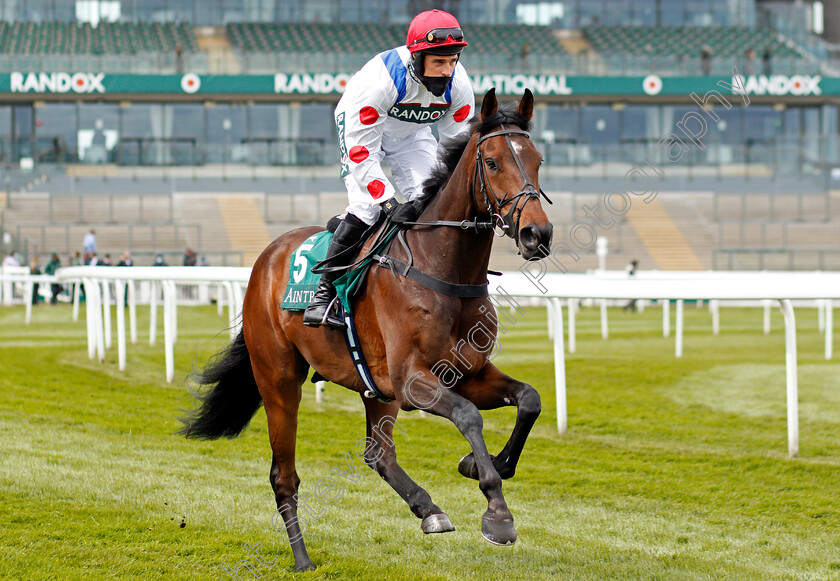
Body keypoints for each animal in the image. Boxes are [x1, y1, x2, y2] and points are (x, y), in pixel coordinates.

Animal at [180, 87, 556, 572]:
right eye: (491, 162)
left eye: (538, 159)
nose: (536, 234)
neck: (442, 267)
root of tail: (267, 257)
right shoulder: (412, 380)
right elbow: (469, 416)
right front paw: (497, 512)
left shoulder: (466, 372)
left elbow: (529, 399)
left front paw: (486, 465)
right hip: (279, 379)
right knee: (284, 475)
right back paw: (302, 558)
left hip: (374, 387)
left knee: (378, 452)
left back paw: (428, 509)